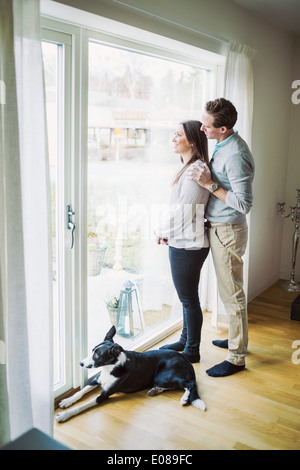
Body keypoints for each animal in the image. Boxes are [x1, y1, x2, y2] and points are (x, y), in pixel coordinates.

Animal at [55, 326, 206, 422]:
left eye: (97, 355)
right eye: (92, 350)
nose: (80, 363)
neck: (110, 368)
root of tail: (186, 361)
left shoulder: (104, 394)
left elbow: (82, 405)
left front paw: (65, 415)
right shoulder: (97, 380)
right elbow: (79, 392)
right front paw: (67, 401)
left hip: (165, 376)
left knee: (190, 384)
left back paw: (184, 398)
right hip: (160, 379)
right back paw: (156, 390)